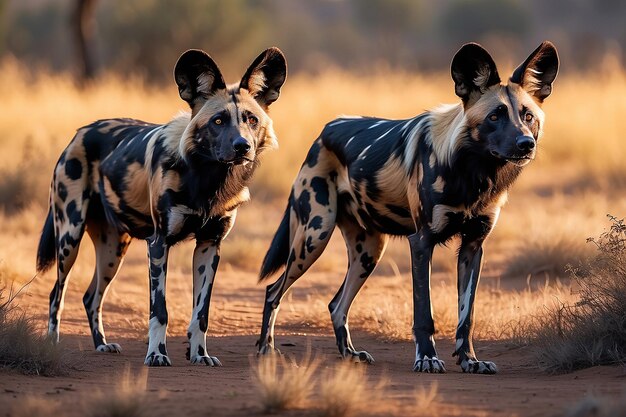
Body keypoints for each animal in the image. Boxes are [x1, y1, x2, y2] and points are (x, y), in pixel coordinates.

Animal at [36, 47, 286, 364]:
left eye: (251, 119)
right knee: (56, 292)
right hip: (69, 238)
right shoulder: (158, 245)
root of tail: (80, 132)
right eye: (218, 121)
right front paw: (156, 354)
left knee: (91, 297)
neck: (208, 180)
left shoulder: (209, 247)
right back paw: (51, 342)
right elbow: (159, 311)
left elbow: (201, 314)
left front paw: (200, 355)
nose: (243, 146)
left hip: (112, 251)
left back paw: (101, 343)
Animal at [256, 42, 560, 374]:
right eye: (495, 116)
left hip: (368, 252)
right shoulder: (422, 243)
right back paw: (266, 348)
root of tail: (324, 132)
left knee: (337, 305)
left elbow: (466, 317)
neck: (474, 172)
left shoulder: (473, 248)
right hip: (314, 237)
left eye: (528, 116)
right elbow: (423, 314)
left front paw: (470, 360)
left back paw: (350, 354)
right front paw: (427, 358)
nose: (526, 143)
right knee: (273, 291)